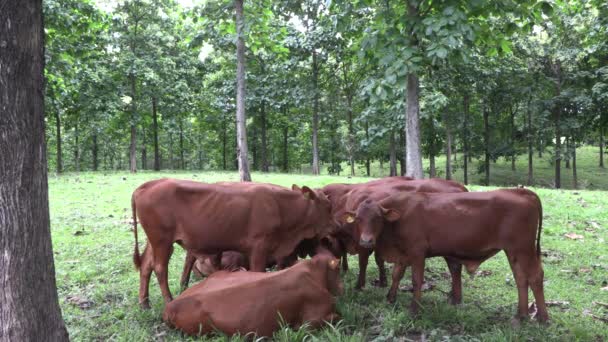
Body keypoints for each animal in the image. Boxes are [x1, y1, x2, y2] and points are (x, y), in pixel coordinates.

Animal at [130, 178, 334, 308]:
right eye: (327, 206)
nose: (337, 225)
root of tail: (149, 185)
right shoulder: (260, 247)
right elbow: (258, 272)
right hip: (162, 241)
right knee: (159, 268)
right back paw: (169, 300)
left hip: (154, 241)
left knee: (146, 266)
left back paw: (144, 303)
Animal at [163, 248, 342, 336]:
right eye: (338, 269)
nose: (341, 288)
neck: (312, 271)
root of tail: (170, 306)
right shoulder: (313, 320)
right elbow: (336, 317)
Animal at [332, 178, 466, 304]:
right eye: (358, 219)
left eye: (378, 218)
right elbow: (379, 260)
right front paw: (383, 281)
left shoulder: (364, 245)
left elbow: (363, 263)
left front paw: (359, 285)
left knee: (455, 267)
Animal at [344, 188, 548, 322]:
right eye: (359, 219)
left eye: (377, 218)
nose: (366, 241)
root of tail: (520, 191)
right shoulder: (403, 253)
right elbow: (396, 275)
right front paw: (390, 298)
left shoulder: (417, 252)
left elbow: (416, 280)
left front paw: (414, 308)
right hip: (513, 252)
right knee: (521, 278)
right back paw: (521, 315)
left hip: (523, 249)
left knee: (535, 277)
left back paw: (542, 317)